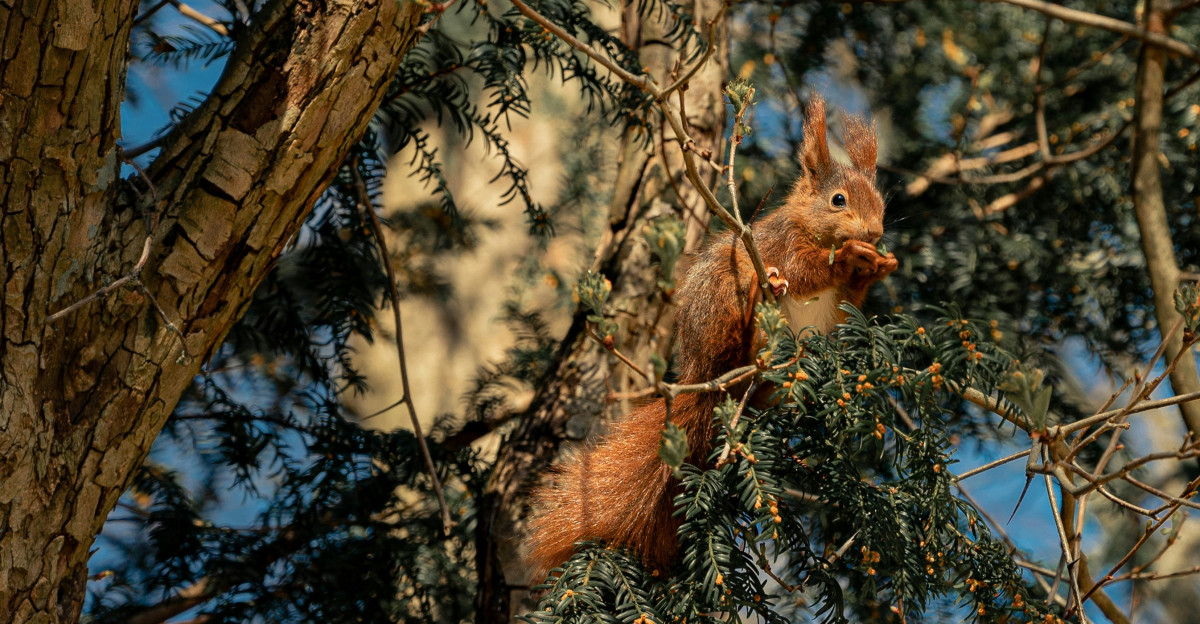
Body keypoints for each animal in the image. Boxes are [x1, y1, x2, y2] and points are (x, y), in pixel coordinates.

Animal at [524, 95, 899, 579]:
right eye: (838, 200)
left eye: (882, 202)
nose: (875, 233)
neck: (812, 229)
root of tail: (705, 376)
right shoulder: (782, 244)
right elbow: (805, 270)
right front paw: (851, 255)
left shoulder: (837, 305)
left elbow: (847, 297)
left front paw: (880, 265)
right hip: (723, 294)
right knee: (738, 332)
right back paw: (757, 312)